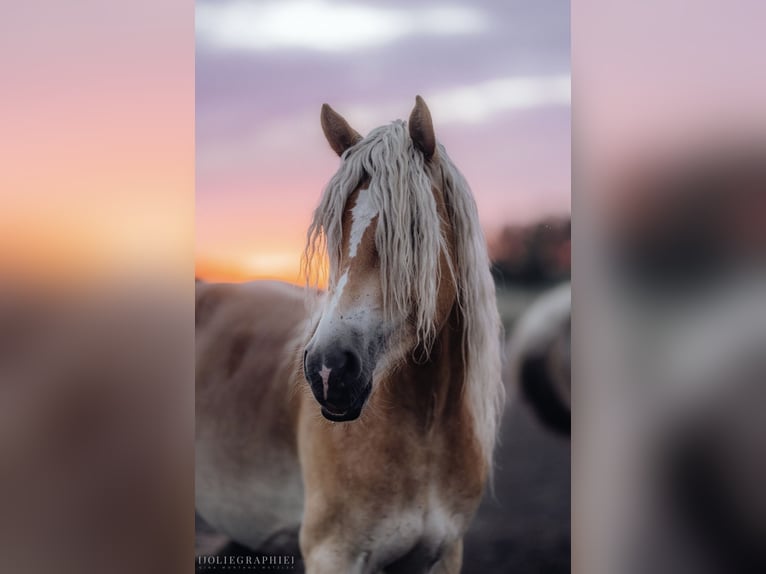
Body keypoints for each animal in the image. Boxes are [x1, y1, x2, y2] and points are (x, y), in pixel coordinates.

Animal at [195, 97, 508, 572]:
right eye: (333, 230)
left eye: (413, 232)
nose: (329, 370)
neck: (426, 434)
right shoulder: (334, 554)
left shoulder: (443, 554)